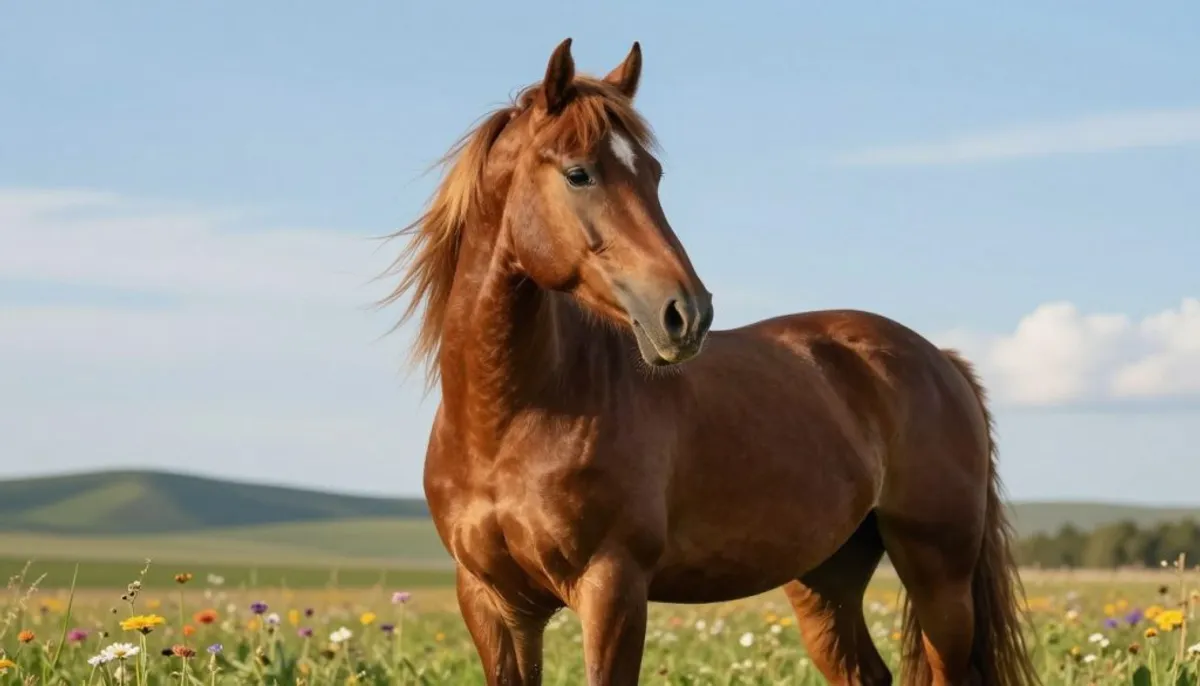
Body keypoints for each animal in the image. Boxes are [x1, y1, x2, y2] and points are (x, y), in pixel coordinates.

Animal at [382, 38, 1038, 686]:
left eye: (653, 173)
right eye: (578, 173)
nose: (686, 313)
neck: (512, 419)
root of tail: (941, 360)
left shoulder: (613, 590)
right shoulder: (495, 604)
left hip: (938, 576)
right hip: (825, 580)